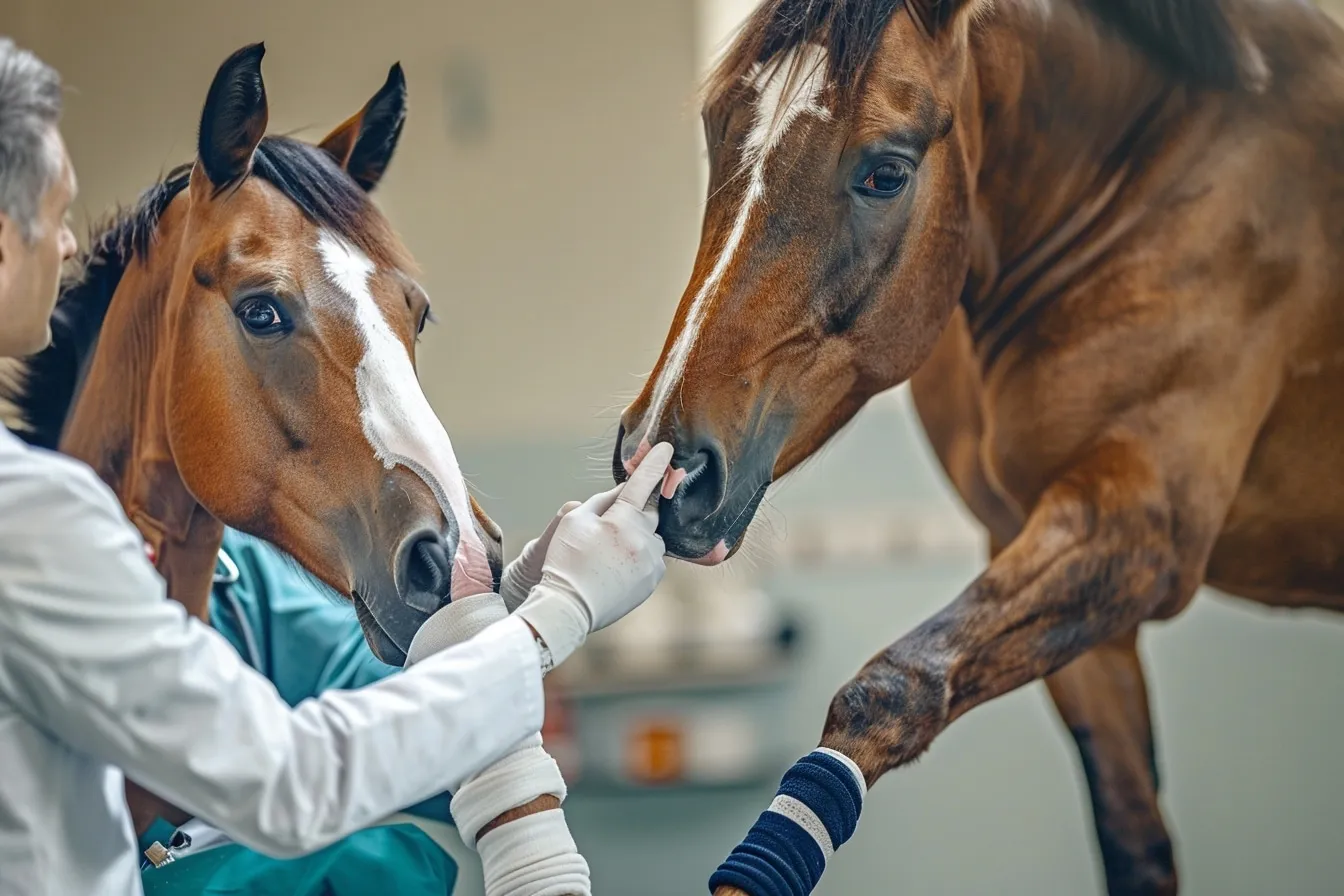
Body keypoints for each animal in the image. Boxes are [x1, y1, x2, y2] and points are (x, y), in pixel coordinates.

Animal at [614, 1, 1344, 893]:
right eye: (719, 131)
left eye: (886, 173)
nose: (665, 465)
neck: (1151, 177)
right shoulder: (1063, 576)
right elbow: (1133, 841)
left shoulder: (1141, 532)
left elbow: (891, 689)